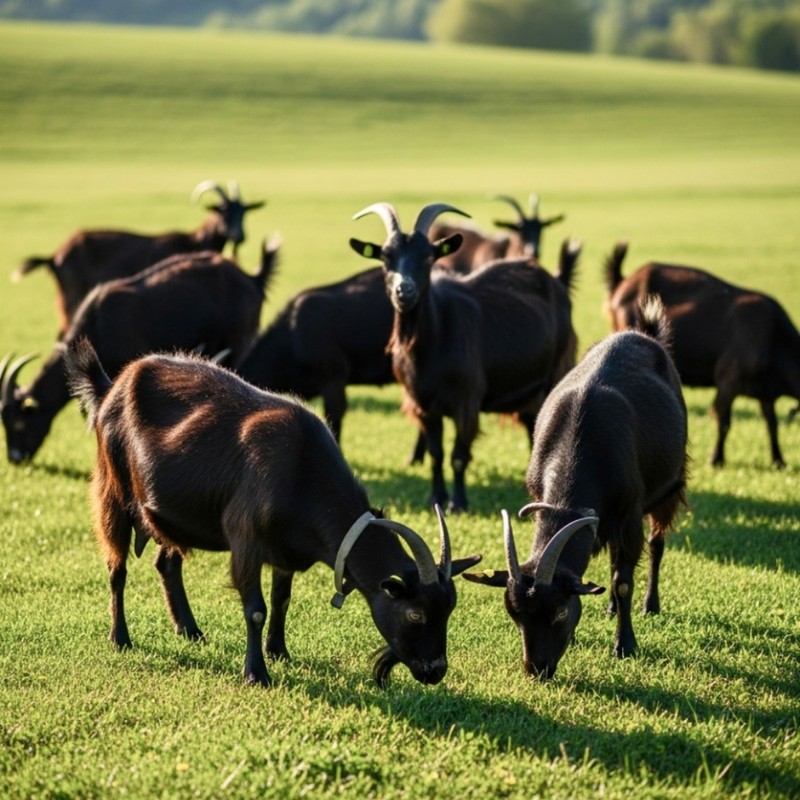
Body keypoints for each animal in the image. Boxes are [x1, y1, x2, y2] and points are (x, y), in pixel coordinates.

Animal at [14, 180, 264, 333]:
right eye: (223, 211)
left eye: (243, 212)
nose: (240, 236)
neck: (195, 241)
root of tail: (54, 256)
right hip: (71, 294)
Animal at [64, 338, 481, 687]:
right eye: (415, 615)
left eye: (449, 610)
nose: (435, 671)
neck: (303, 470)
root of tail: (110, 387)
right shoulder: (246, 539)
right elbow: (256, 609)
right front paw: (256, 674)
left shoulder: (285, 550)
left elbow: (282, 599)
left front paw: (278, 651)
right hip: (112, 490)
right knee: (116, 568)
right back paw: (121, 638)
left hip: (175, 515)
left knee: (167, 563)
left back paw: (190, 630)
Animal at [350, 202, 578, 513]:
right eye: (385, 257)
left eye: (428, 257)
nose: (404, 290)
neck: (431, 347)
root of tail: (557, 281)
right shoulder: (423, 405)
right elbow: (436, 453)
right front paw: (436, 497)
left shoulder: (466, 400)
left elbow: (458, 455)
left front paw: (458, 503)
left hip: (558, 369)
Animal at [465, 300, 688, 679]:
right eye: (514, 615)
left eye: (559, 612)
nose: (537, 669)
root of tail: (644, 334)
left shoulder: (629, 512)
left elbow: (623, 579)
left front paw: (625, 645)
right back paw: (612, 608)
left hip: (670, 488)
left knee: (656, 544)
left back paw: (649, 605)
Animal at [604, 241, 800, 468]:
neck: (774, 339)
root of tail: (622, 282)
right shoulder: (728, 381)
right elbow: (723, 420)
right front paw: (716, 460)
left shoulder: (765, 391)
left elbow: (772, 424)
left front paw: (779, 461)